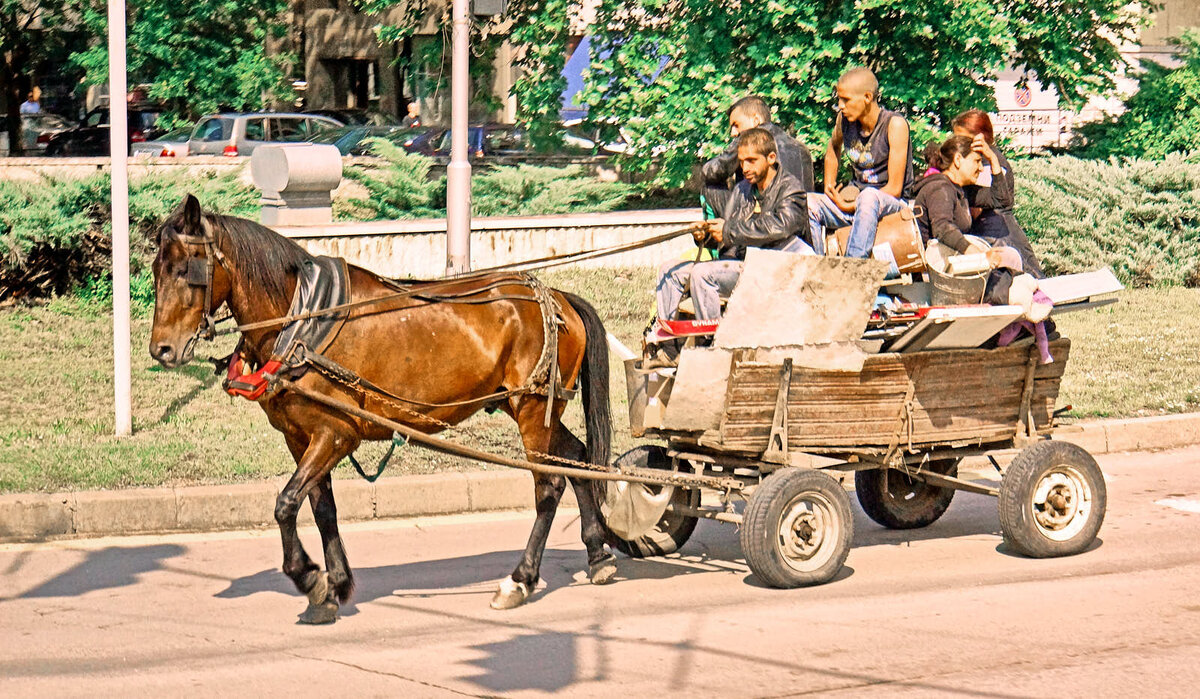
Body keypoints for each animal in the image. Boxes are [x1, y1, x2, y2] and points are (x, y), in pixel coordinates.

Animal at [150, 195, 614, 624]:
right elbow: (321, 508)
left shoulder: (336, 434)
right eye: (156, 269)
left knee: (549, 485)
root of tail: (557, 297)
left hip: (532, 406)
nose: (162, 350)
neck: (303, 319)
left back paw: (520, 579)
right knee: (577, 460)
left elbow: (285, 504)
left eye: (186, 270)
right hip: (532, 408)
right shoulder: (300, 438)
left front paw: (309, 577)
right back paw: (597, 553)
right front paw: (334, 586)